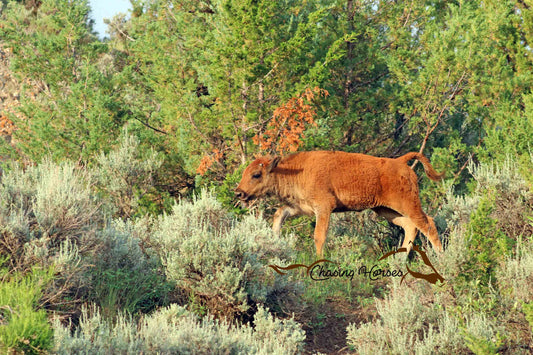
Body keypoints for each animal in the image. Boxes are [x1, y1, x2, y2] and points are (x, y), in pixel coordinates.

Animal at [235, 152, 442, 258]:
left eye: (256, 174)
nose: (239, 192)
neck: (295, 170)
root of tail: (400, 162)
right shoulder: (301, 207)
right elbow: (279, 215)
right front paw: (275, 240)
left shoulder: (324, 208)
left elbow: (319, 236)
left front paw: (319, 260)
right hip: (385, 209)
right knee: (410, 226)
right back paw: (399, 260)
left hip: (407, 204)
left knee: (428, 224)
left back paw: (440, 257)